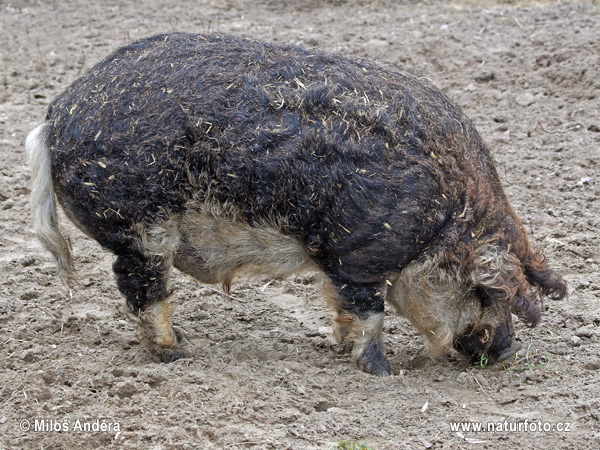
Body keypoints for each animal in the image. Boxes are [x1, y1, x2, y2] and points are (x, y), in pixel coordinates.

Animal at [24, 32, 568, 376]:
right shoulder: (357, 254)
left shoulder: (337, 259)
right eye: (485, 293)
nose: (505, 352)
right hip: (139, 229)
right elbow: (368, 313)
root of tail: (55, 114)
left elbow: (342, 309)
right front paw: (382, 373)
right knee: (142, 289)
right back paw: (177, 354)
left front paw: (340, 349)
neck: (441, 223)